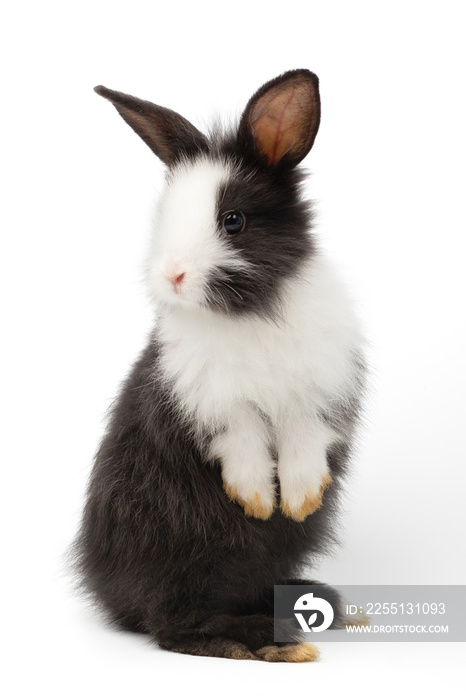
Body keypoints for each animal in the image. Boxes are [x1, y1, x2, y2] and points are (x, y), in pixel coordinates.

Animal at [71, 67, 366, 660]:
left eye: (233, 221)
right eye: (164, 217)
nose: (172, 275)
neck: (247, 313)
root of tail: (113, 598)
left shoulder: (319, 397)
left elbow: (304, 442)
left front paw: (297, 500)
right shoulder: (213, 404)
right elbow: (242, 443)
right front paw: (256, 502)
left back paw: (317, 603)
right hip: (183, 552)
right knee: (176, 625)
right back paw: (268, 641)